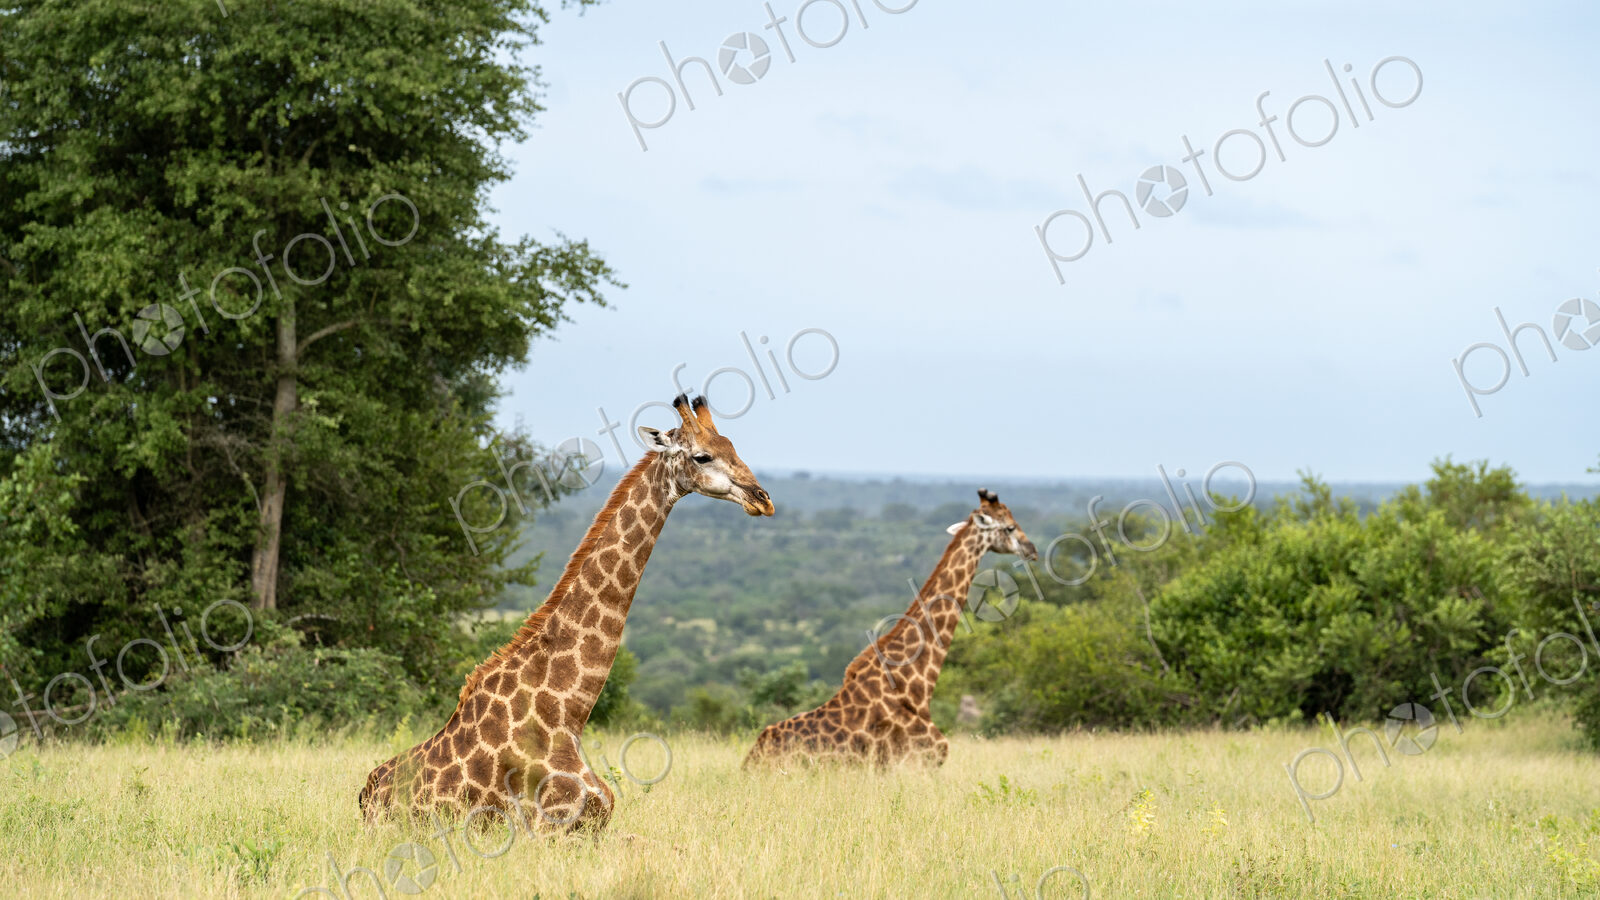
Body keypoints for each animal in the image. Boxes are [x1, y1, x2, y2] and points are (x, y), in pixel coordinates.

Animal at [360, 394, 774, 832]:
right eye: (702, 456)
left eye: (733, 447)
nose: (762, 499)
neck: (567, 710)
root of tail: (366, 794)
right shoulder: (550, 825)